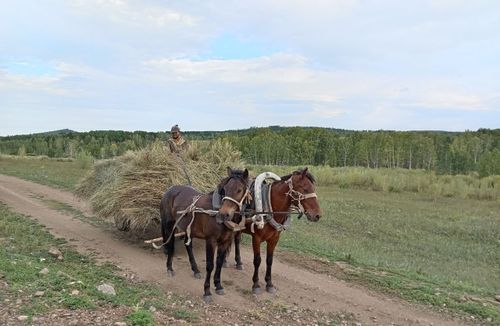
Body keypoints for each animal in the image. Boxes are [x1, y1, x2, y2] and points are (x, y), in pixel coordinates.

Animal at [159, 168, 250, 304]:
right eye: (225, 189)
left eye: (239, 189)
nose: (223, 215)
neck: (215, 211)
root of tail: (170, 190)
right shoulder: (211, 241)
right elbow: (210, 265)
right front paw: (207, 291)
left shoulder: (225, 242)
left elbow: (219, 263)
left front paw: (218, 286)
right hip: (170, 225)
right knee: (170, 246)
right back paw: (169, 268)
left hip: (188, 228)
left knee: (188, 245)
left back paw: (195, 270)